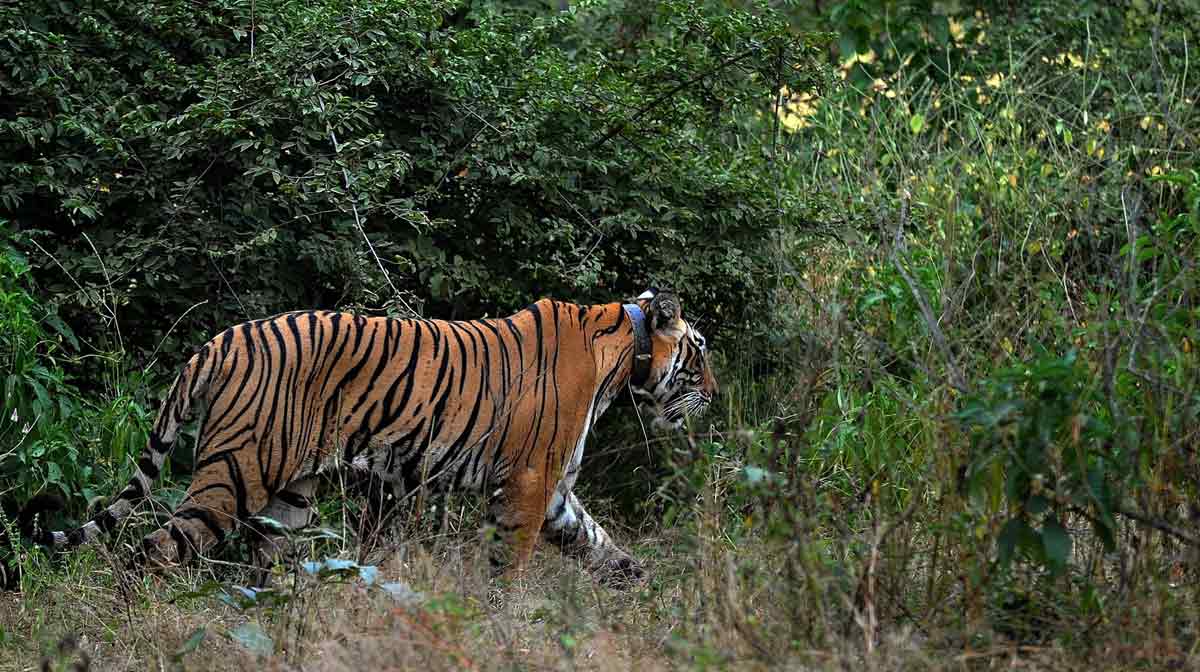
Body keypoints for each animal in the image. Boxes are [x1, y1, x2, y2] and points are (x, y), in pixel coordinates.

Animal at [28, 289, 716, 584]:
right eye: (701, 351)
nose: (713, 394)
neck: (623, 356)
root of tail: (218, 341)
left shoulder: (553, 494)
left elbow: (600, 543)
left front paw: (642, 583)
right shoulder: (527, 483)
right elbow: (509, 570)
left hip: (290, 497)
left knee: (260, 566)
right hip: (234, 473)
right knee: (153, 548)